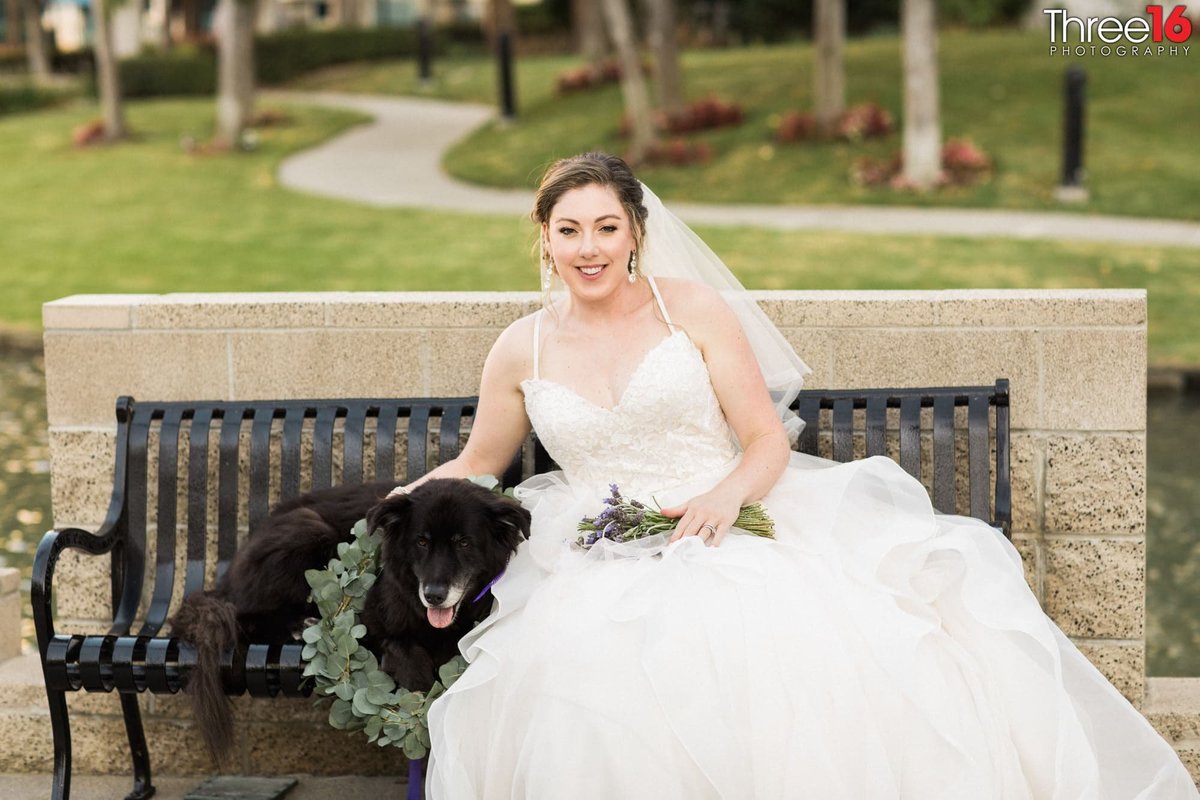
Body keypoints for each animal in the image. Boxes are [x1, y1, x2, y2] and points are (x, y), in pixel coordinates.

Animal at [171, 479, 528, 767]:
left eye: (464, 542)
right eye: (422, 542)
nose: (434, 596)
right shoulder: (376, 625)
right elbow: (408, 658)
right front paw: (419, 709)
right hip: (308, 529)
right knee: (244, 616)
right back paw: (301, 624)